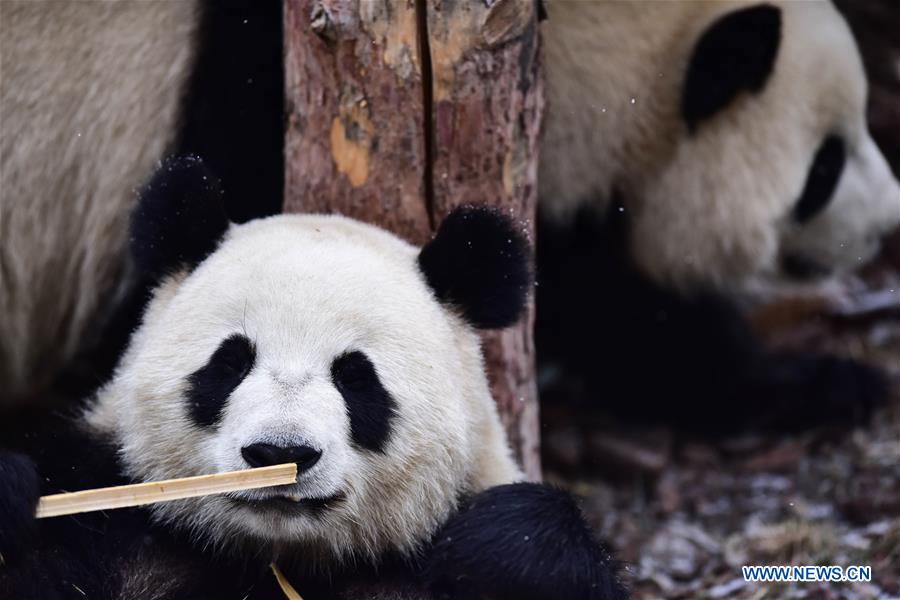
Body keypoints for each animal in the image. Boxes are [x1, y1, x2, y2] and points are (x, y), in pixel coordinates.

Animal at [0, 157, 626, 600]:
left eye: (356, 378)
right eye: (230, 363)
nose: (280, 452)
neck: (280, 558)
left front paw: (508, 544)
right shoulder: (104, 509)